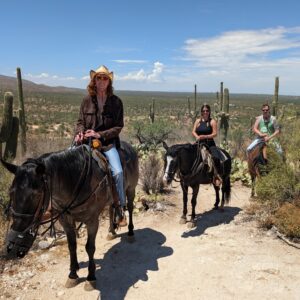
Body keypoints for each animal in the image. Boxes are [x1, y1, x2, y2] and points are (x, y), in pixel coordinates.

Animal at [0, 142, 139, 292]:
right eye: (11, 192)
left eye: (36, 194)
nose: (13, 247)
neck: (76, 180)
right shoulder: (65, 220)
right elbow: (71, 245)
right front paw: (73, 274)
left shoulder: (92, 220)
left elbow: (90, 247)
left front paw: (90, 278)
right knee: (111, 208)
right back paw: (111, 232)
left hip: (131, 189)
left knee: (130, 208)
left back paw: (130, 233)